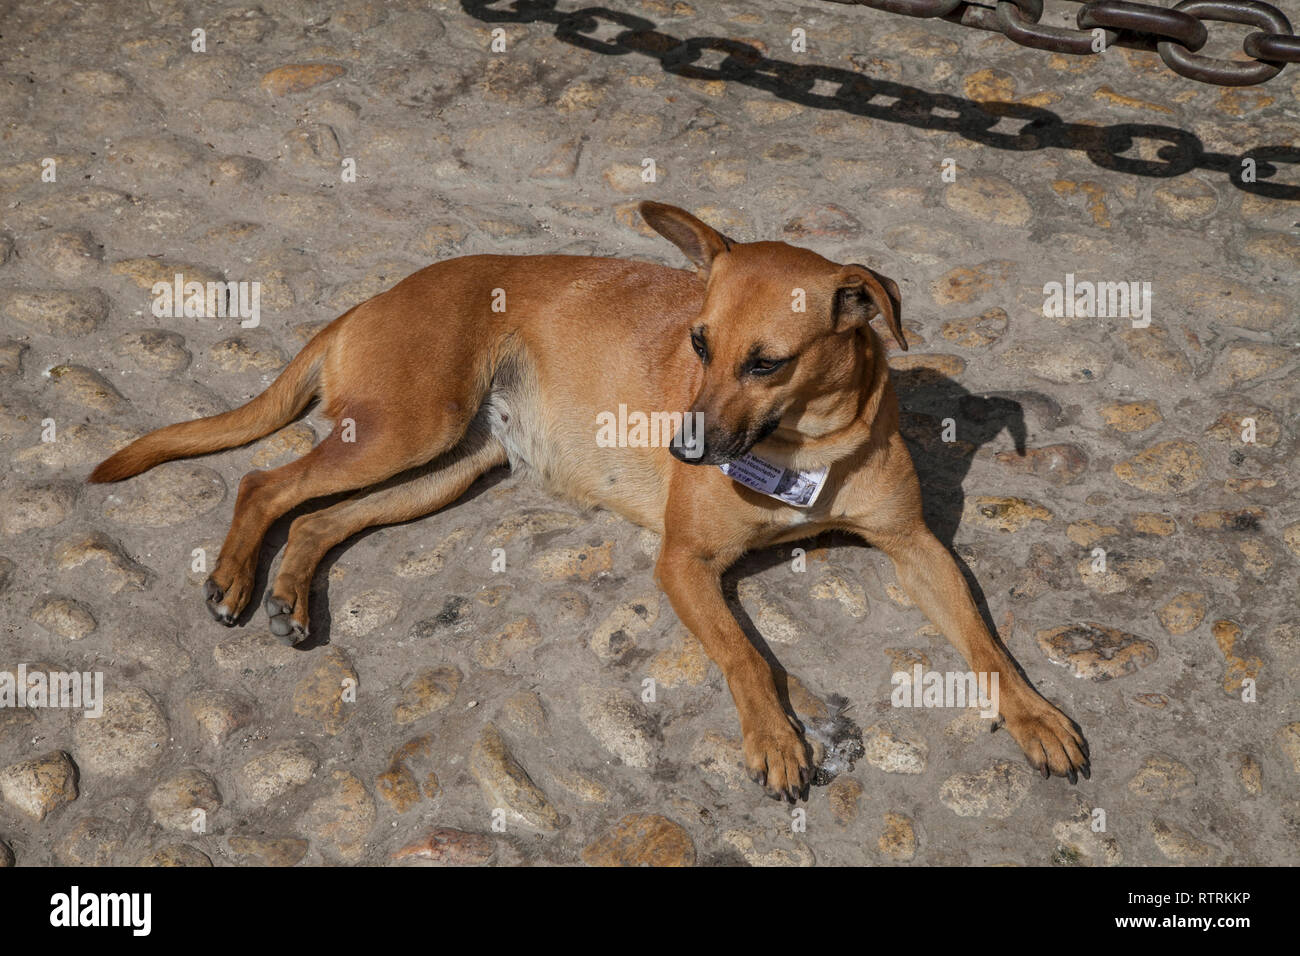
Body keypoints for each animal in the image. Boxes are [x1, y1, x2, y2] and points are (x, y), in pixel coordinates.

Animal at [91, 201, 1086, 801]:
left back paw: (293, 593)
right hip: (405, 431)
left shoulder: (917, 547)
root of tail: (368, 301)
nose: (684, 448)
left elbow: (987, 644)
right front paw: (774, 736)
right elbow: (748, 658)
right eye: (698, 342)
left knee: (318, 517)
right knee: (266, 482)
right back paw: (233, 579)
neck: (809, 448)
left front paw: (1035, 716)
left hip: (446, 465)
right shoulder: (685, 565)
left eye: (768, 362)